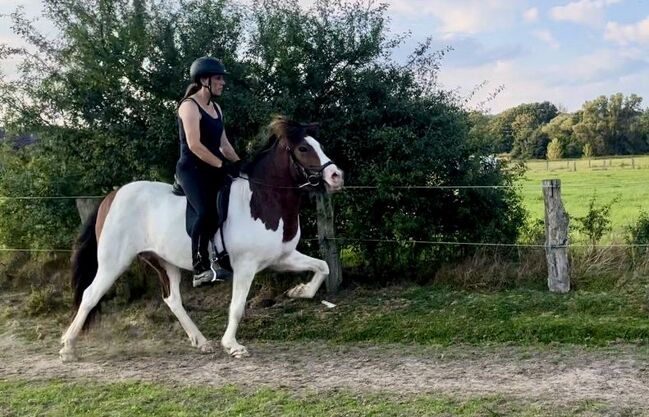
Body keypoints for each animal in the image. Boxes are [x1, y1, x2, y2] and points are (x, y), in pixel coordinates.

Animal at [59, 115, 344, 360]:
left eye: (319, 145)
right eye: (303, 149)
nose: (336, 176)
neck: (263, 199)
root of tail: (112, 196)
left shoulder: (282, 258)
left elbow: (323, 267)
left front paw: (299, 292)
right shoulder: (245, 266)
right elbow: (237, 306)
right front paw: (232, 345)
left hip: (164, 262)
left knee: (172, 299)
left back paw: (201, 341)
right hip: (114, 262)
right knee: (90, 295)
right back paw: (67, 348)